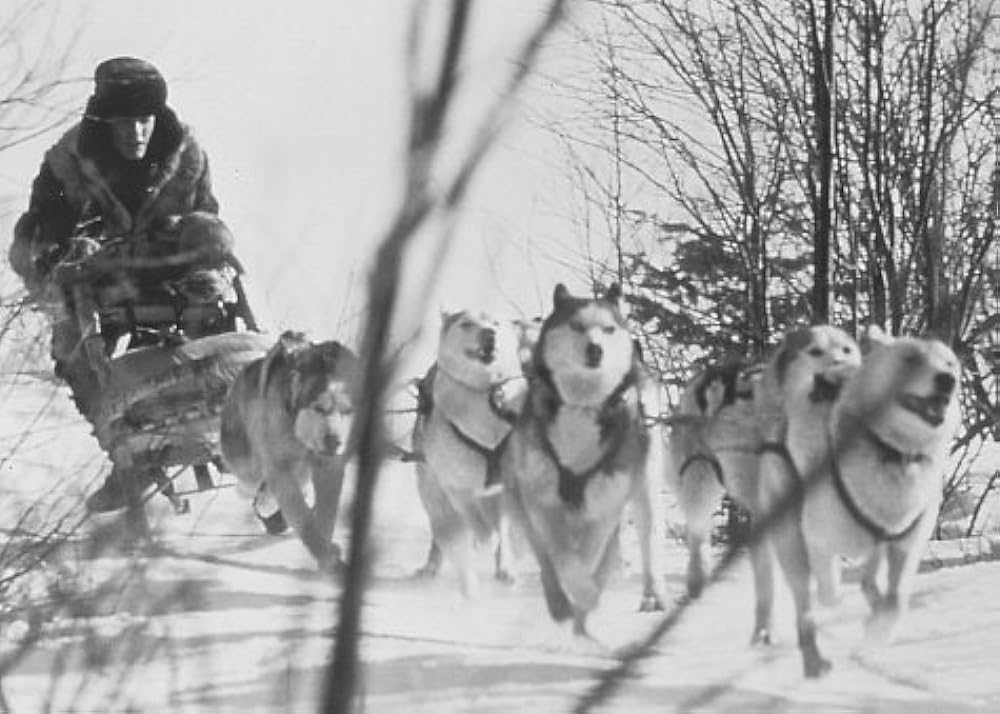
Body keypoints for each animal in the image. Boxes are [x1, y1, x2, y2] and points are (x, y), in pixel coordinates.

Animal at [220, 330, 360, 572]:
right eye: (319, 408)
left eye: (347, 411)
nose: (334, 441)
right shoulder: (279, 466)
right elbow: (302, 517)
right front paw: (323, 554)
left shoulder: (328, 468)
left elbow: (326, 513)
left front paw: (326, 553)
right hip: (246, 462)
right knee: (251, 484)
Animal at [410, 308, 528, 592]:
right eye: (466, 324)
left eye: (496, 323)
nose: (489, 334)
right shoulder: (457, 487)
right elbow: (478, 525)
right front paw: (482, 540)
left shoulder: (509, 485)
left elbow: (503, 531)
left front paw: (506, 566)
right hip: (433, 493)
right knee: (445, 534)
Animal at [500, 284, 664, 636]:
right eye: (576, 326)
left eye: (608, 329)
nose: (595, 349)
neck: (581, 406)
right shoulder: (541, 504)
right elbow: (558, 557)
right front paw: (562, 599)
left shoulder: (602, 510)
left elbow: (584, 560)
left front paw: (581, 595)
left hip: (643, 489)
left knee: (647, 539)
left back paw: (652, 595)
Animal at [764, 328, 960, 672]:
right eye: (910, 358)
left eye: (949, 362)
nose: (947, 379)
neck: (894, 453)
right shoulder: (820, 541)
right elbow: (829, 594)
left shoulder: (904, 545)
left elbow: (895, 604)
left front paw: (874, 634)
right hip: (791, 541)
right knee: (807, 598)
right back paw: (814, 657)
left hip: (876, 545)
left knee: (870, 581)